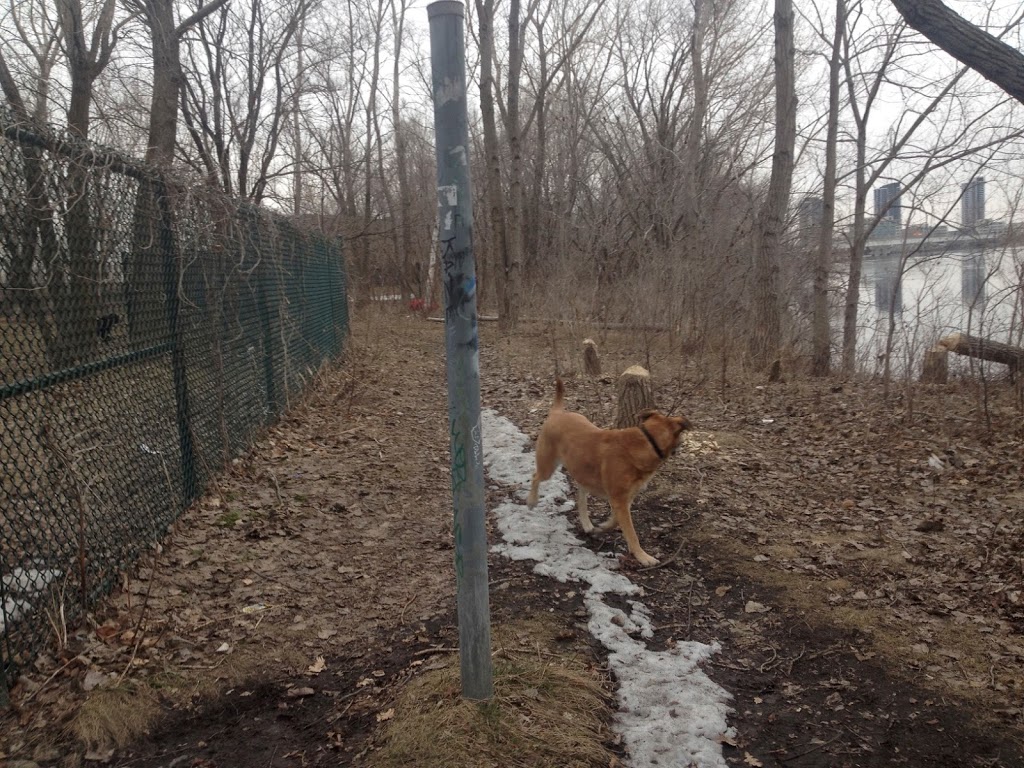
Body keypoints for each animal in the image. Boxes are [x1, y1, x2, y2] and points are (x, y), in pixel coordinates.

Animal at [524, 378, 692, 565]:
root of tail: (557, 412)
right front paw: (642, 556)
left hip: (582, 469)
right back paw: (532, 500)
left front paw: (602, 527)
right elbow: (631, 533)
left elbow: (616, 520)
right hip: (548, 465)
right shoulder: (619, 499)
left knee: (581, 496)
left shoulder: (625, 498)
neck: (648, 441)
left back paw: (587, 524)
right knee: (535, 477)